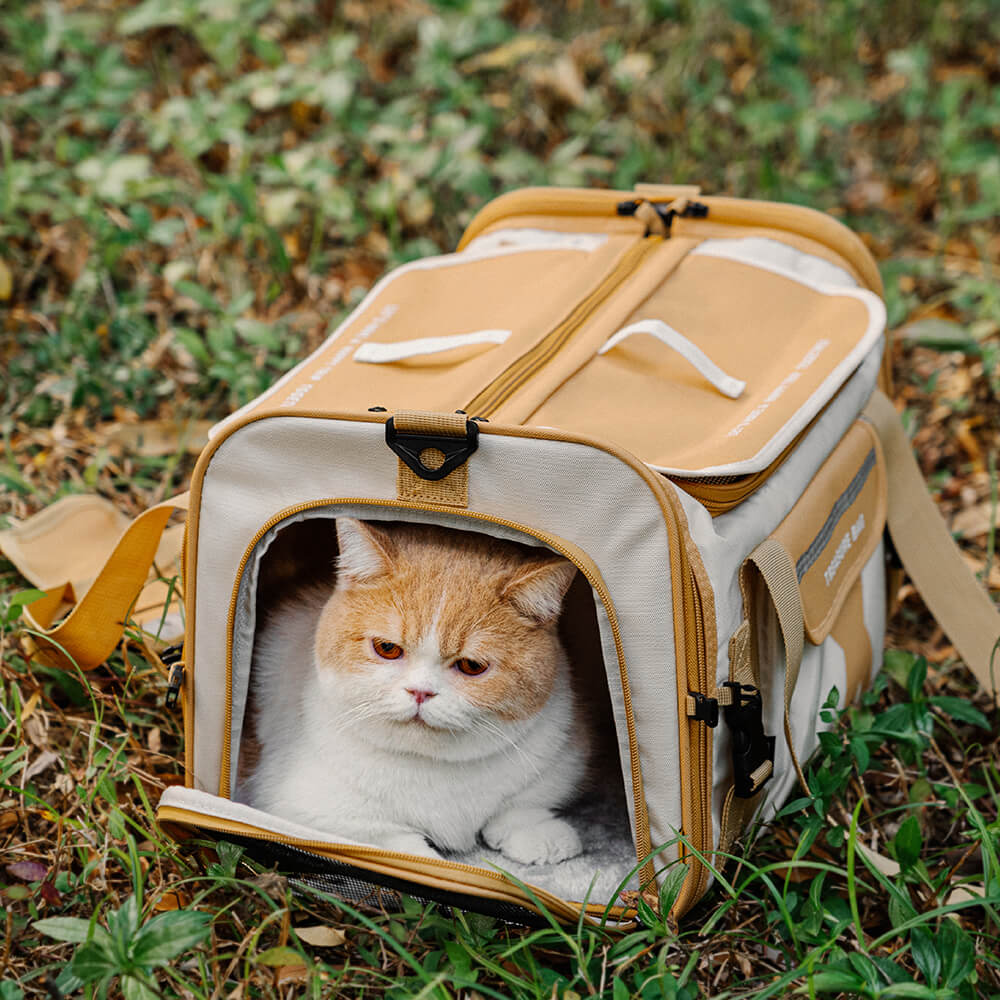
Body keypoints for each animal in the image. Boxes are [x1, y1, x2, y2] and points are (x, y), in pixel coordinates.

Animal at [237, 520, 588, 864]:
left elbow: (521, 805)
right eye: (387, 648)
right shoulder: (300, 808)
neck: (431, 767)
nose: (420, 692)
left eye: (472, 666)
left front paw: (538, 832)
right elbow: (395, 846)